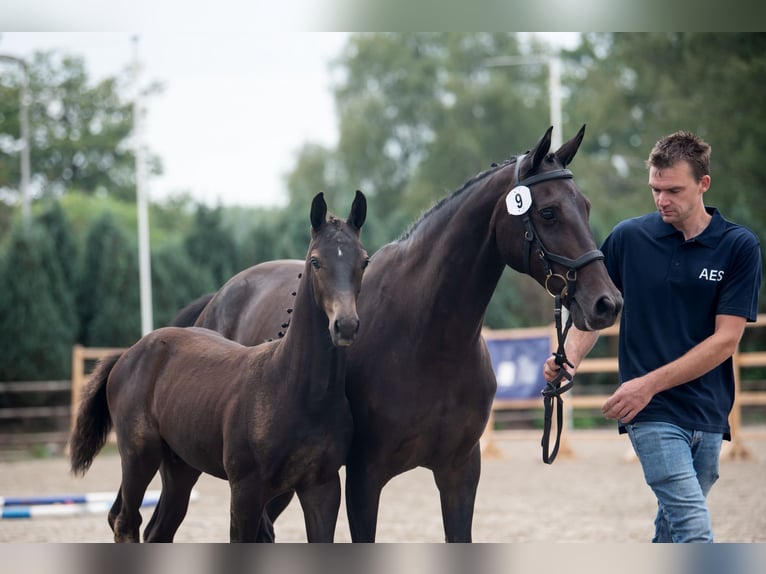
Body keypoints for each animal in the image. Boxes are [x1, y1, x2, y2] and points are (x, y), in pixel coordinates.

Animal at [70, 191, 370, 544]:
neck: (296, 389)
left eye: (364, 261)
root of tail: (130, 352)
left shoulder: (322, 487)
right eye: (315, 261)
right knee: (125, 522)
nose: (345, 326)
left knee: (159, 528)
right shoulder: (245, 489)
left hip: (180, 465)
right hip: (138, 456)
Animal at [195, 127, 628, 544]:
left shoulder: (459, 472)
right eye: (549, 212)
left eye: (586, 207)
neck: (428, 340)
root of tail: (222, 295)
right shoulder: (363, 477)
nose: (607, 302)